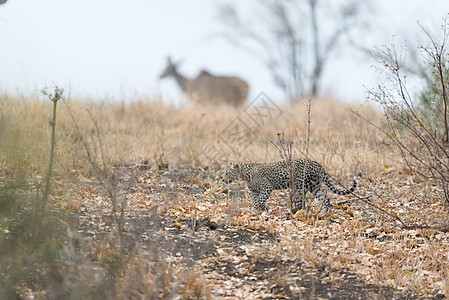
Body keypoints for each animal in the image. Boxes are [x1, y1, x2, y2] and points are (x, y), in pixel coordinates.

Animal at [221, 159, 356, 213]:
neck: (245, 175)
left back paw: (293, 211)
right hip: (314, 186)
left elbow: (260, 200)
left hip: (300, 186)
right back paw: (323, 213)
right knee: (325, 198)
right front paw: (259, 211)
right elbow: (255, 202)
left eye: (227, 172)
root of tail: (318, 164)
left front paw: (266, 208)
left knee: (301, 202)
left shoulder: (266, 188)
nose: (222, 179)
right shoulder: (254, 191)